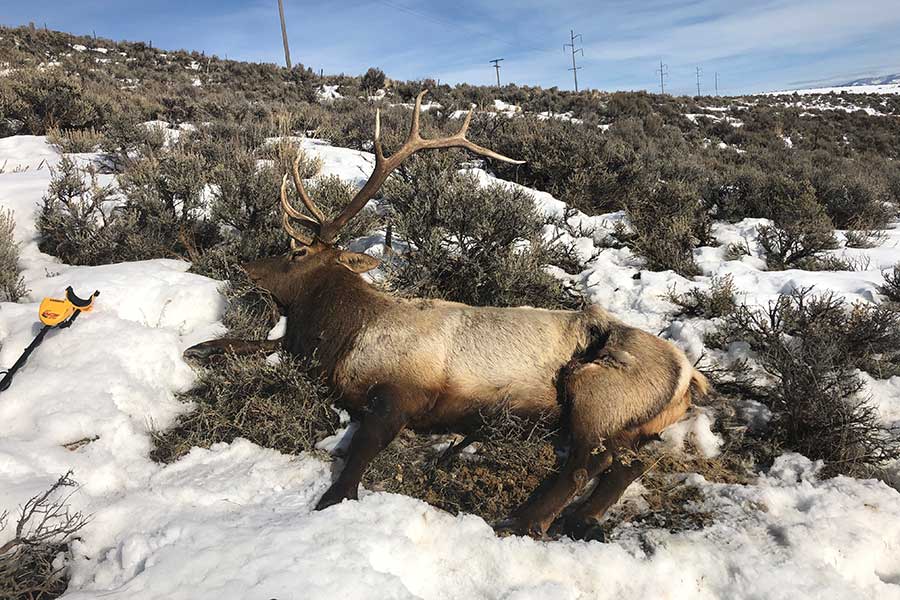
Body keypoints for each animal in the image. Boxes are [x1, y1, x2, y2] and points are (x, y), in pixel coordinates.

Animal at [185, 91, 712, 540]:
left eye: (296, 253)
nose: (246, 266)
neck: (343, 336)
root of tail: (690, 376)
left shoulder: (404, 393)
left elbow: (357, 458)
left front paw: (333, 499)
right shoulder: (305, 351)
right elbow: (254, 342)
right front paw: (199, 347)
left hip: (595, 388)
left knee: (588, 463)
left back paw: (525, 520)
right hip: (631, 422)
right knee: (628, 463)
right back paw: (580, 519)